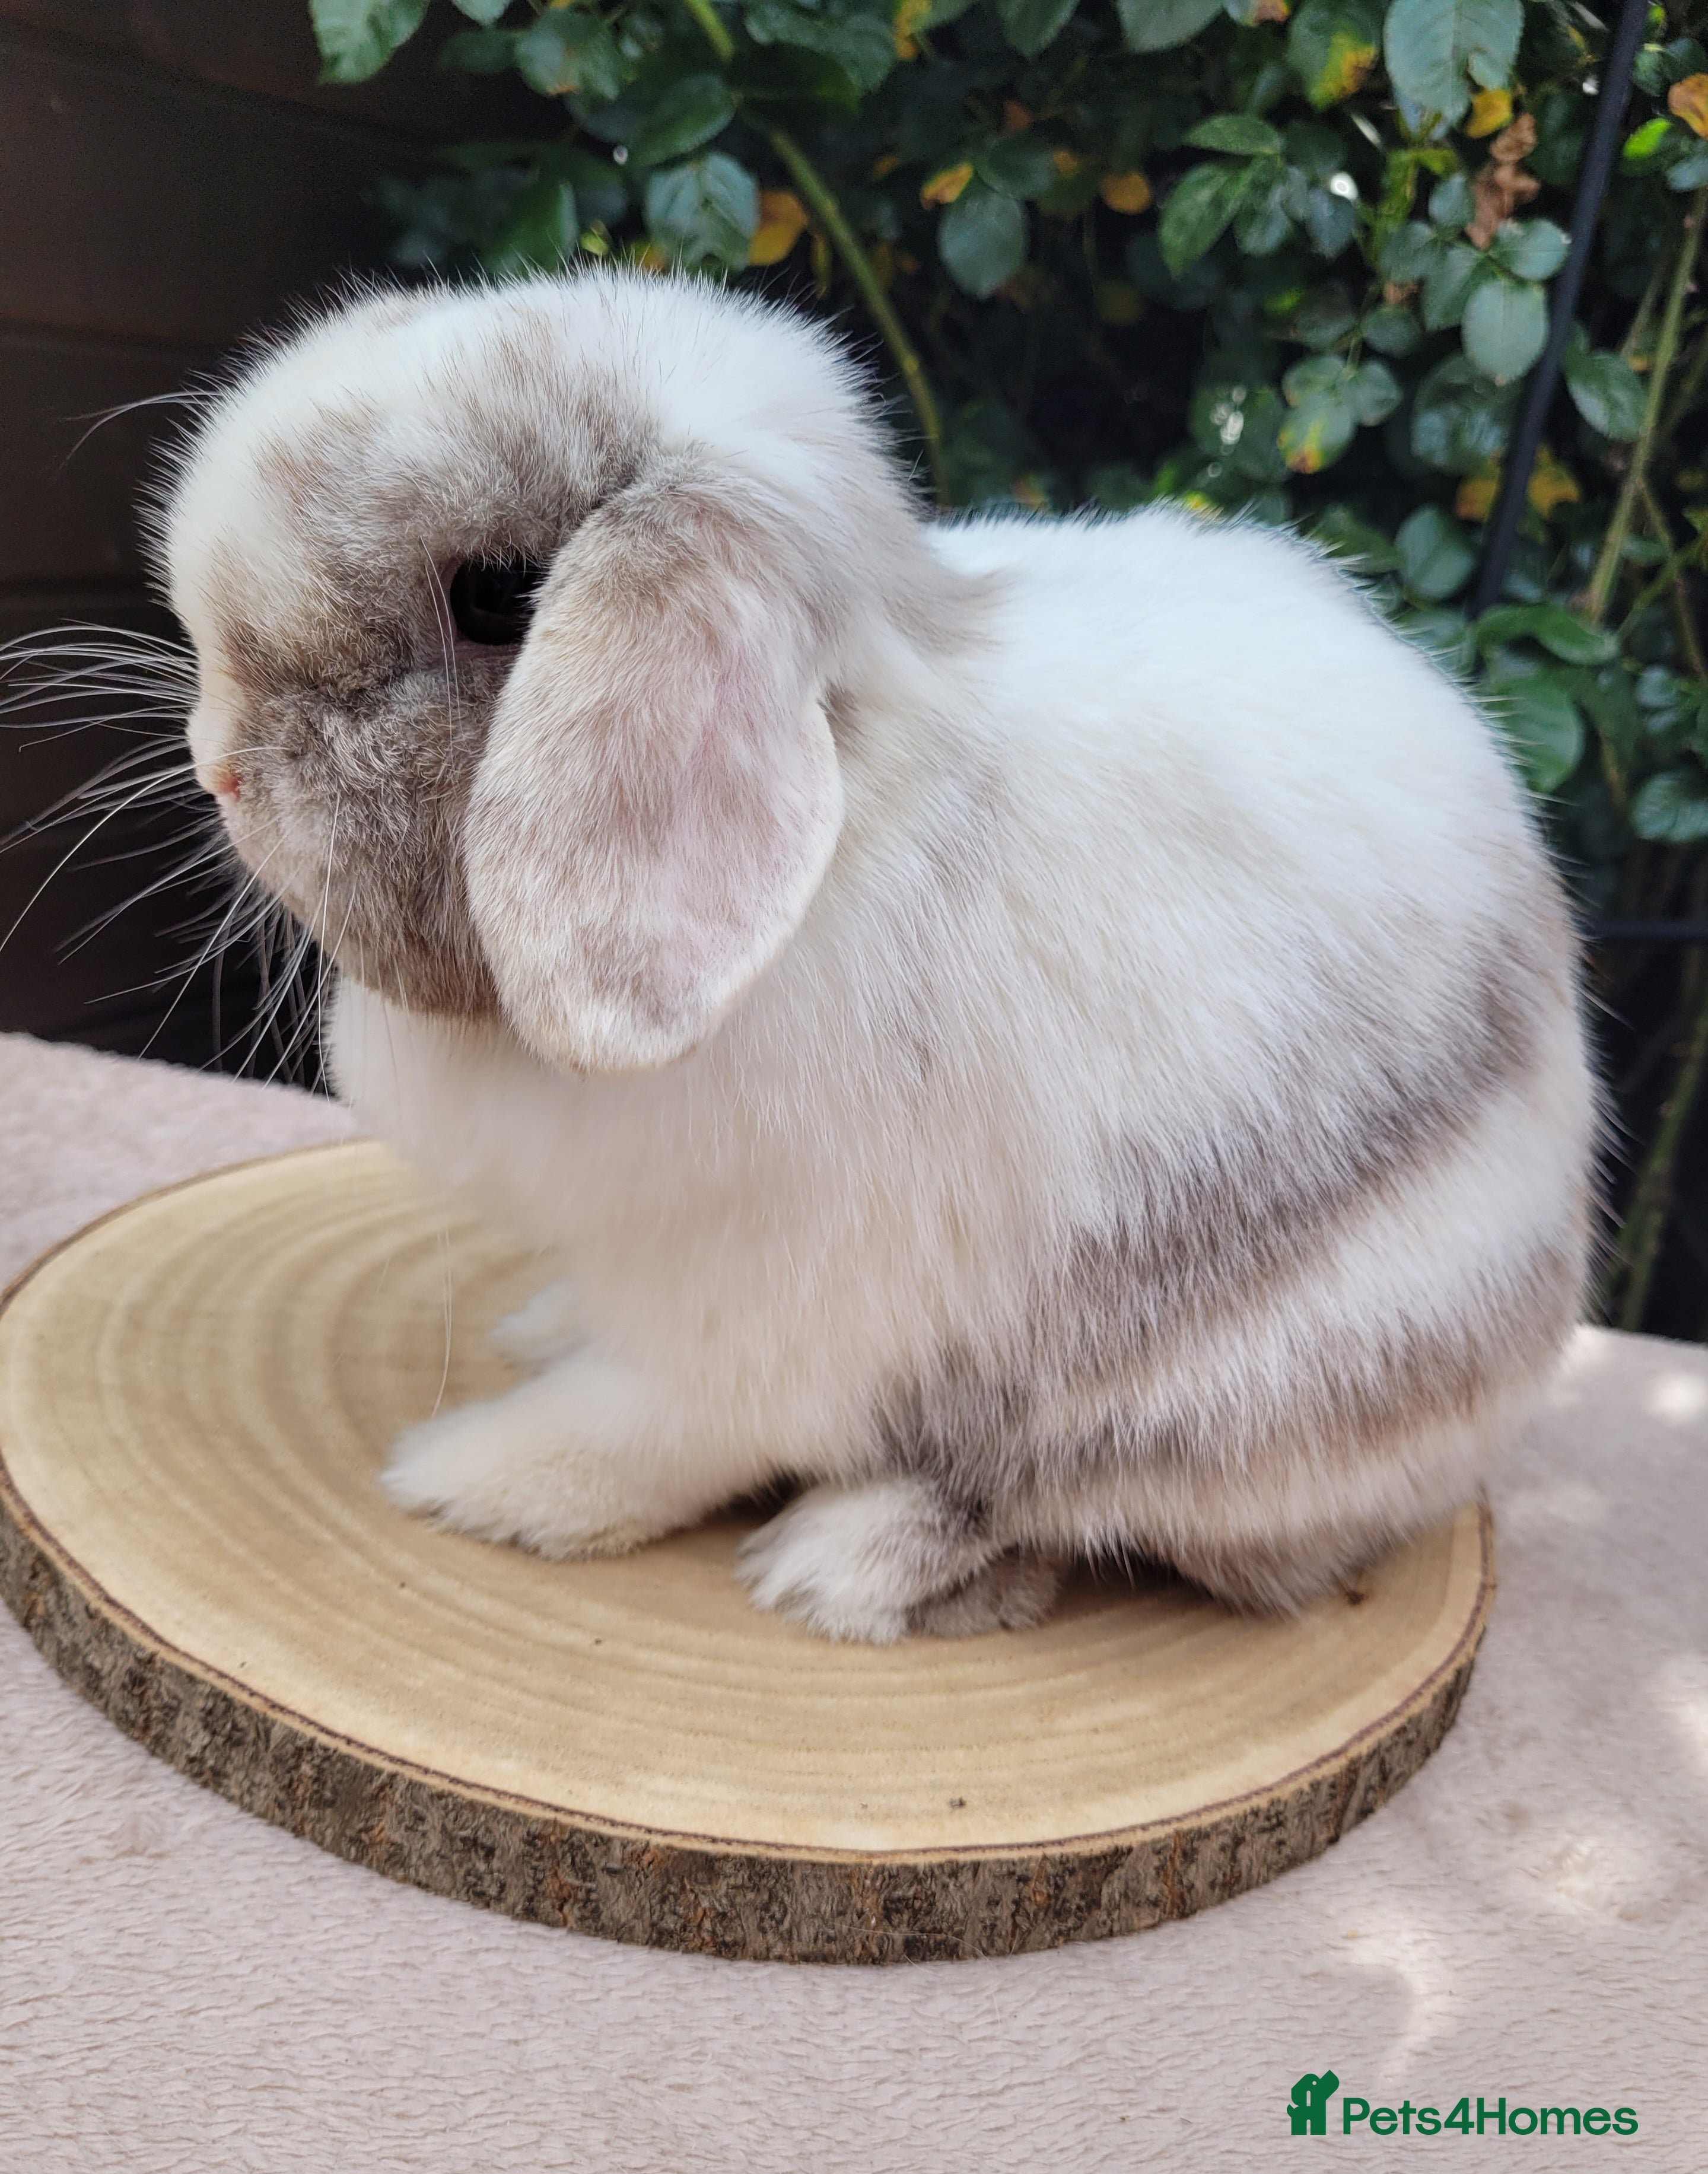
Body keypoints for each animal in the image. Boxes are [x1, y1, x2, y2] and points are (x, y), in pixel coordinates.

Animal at [161, 268, 1595, 1642]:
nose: (215, 765)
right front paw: (534, 1333)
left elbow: (644, 1427)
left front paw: (470, 1478)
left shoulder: (760, 1311)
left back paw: (837, 1565)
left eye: (494, 598)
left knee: (1051, 1503)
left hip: (1229, 1390)